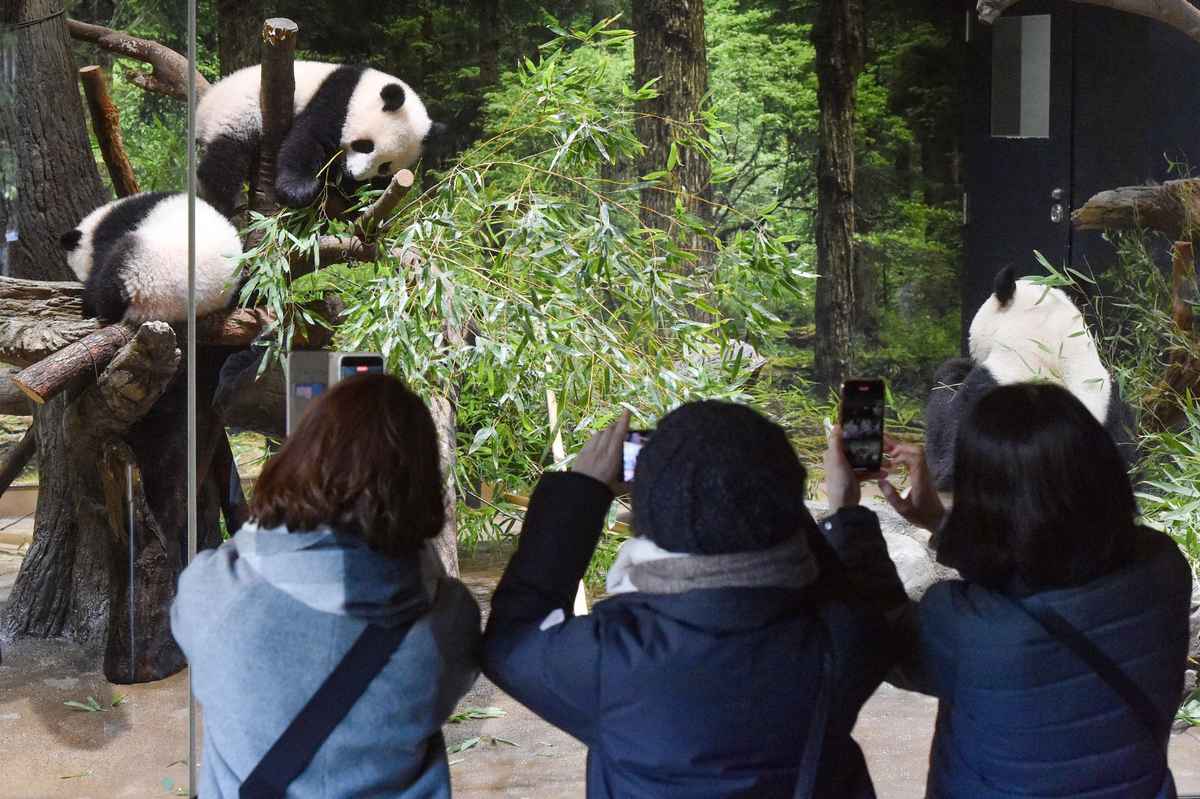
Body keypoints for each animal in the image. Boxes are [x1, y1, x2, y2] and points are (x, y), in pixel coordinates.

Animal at [194, 61, 444, 215]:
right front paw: (299, 190)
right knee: (225, 160)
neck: (364, 87)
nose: (355, 173)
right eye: (365, 146)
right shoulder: (336, 98)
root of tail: (203, 105)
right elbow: (308, 138)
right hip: (236, 114)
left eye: (385, 166)